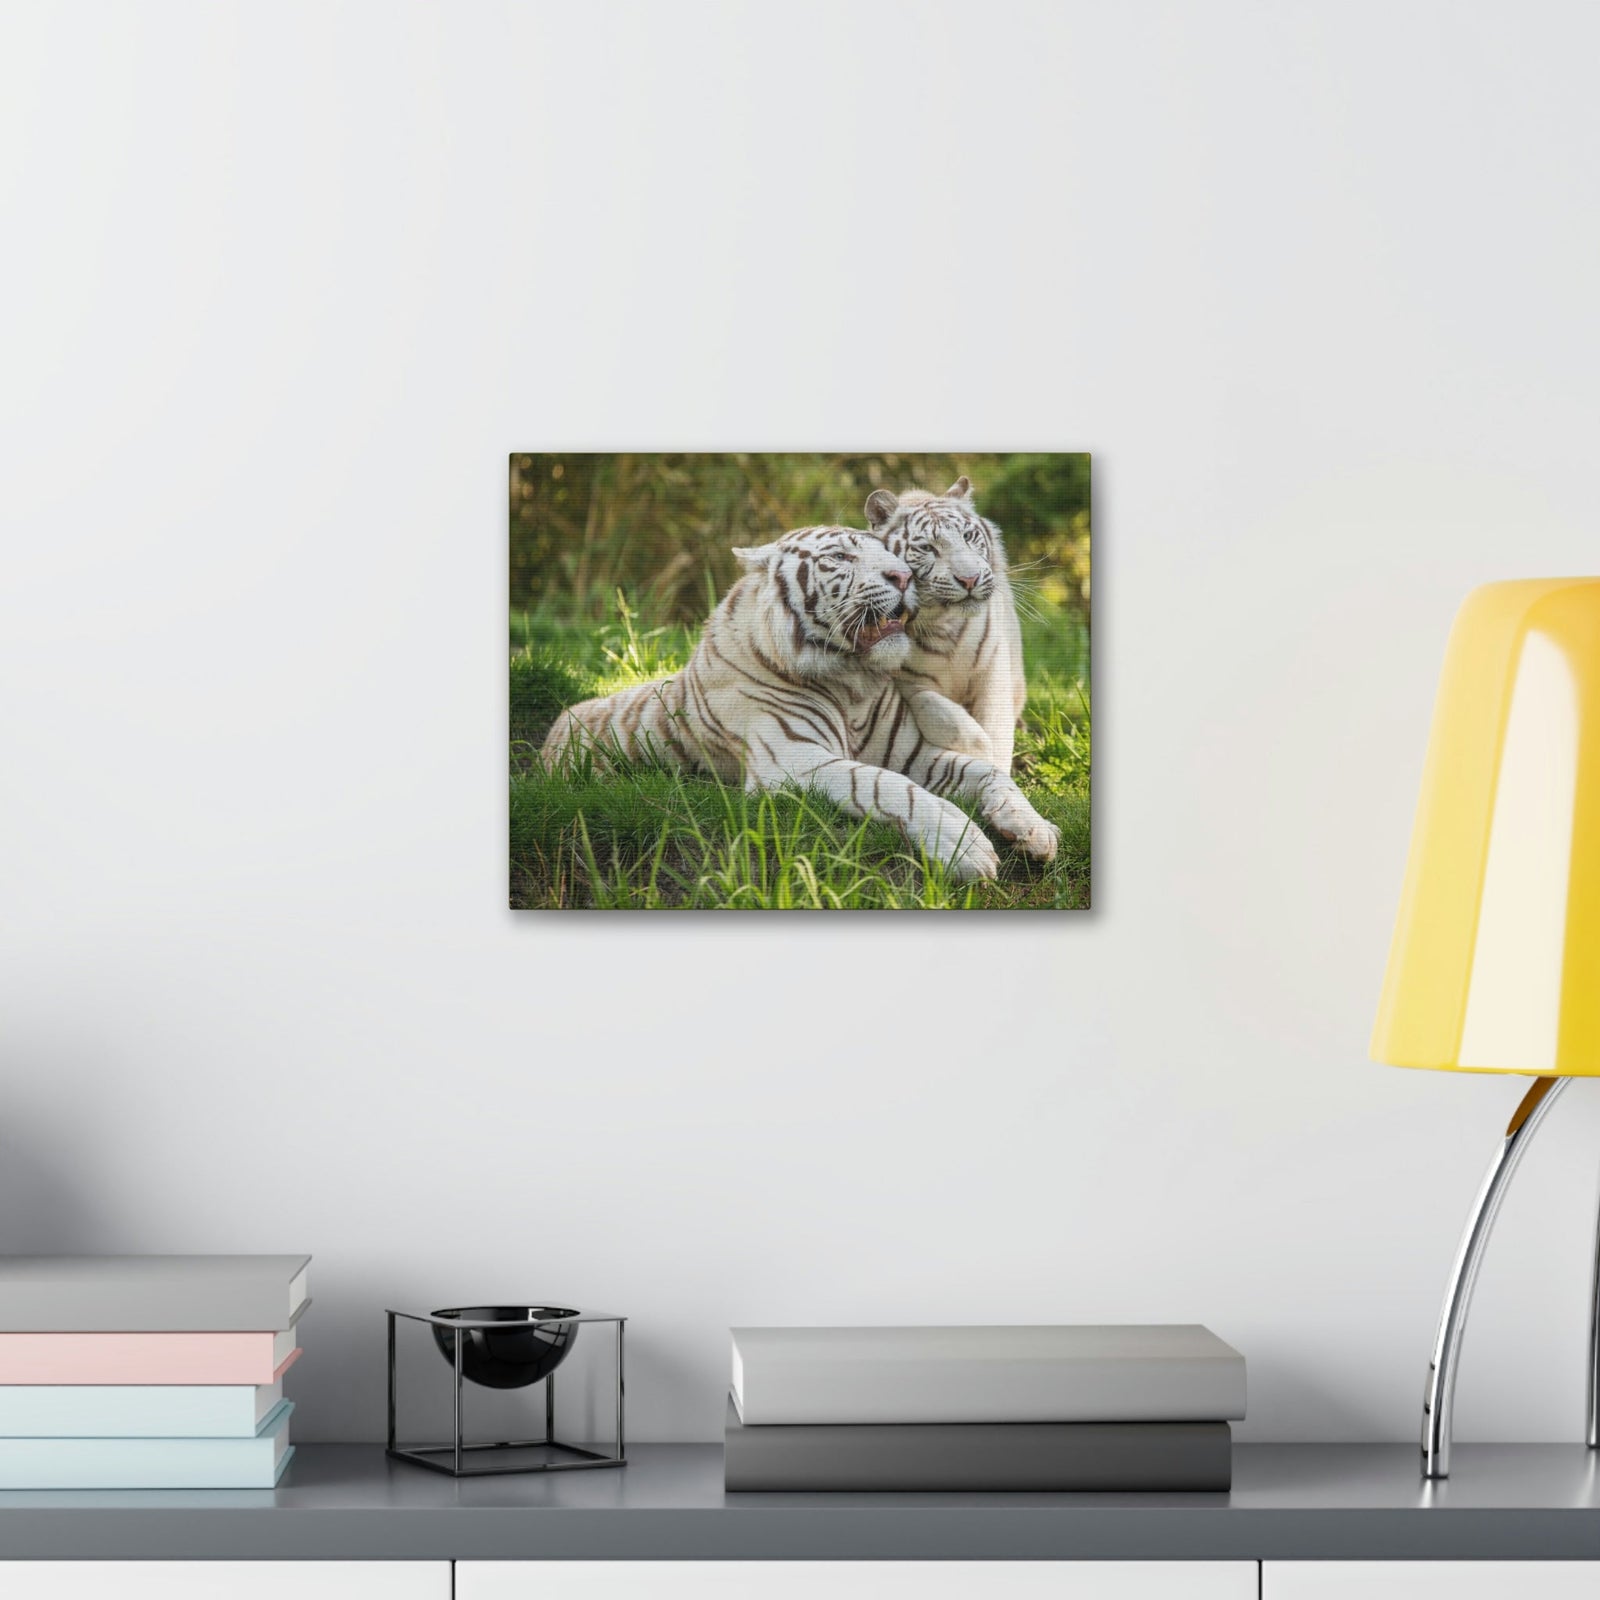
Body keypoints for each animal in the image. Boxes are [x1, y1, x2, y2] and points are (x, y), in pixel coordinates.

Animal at [539, 525, 1060, 881]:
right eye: (841, 556)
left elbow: (989, 773)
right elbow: (885, 786)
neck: (852, 684)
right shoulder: (792, 760)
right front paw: (963, 845)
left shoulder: (914, 752)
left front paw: (1033, 828)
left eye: (892, 554)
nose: (904, 575)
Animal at [866, 476, 1028, 774]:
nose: (970, 579)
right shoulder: (903, 680)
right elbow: (938, 710)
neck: (943, 624)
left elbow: (997, 726)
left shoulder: (993, 670)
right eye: (928, 548)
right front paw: (980, 748)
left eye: (968, 537)